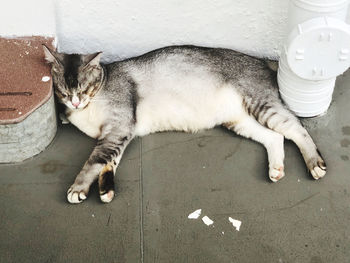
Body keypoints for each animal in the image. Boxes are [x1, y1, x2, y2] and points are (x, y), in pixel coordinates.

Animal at [42, 44, 326, 204]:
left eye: (83, 89)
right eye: (63, 91)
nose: (75, 102)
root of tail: (261, 60)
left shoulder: (119, 127)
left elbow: (94, 161)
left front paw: (78, 188)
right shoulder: (120, 134)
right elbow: (109, 162)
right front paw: (106, 190)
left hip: (261, 104)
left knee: (296, 128)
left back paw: (315, 164)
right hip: (238, 120)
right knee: (275, 137)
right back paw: (276, 169)